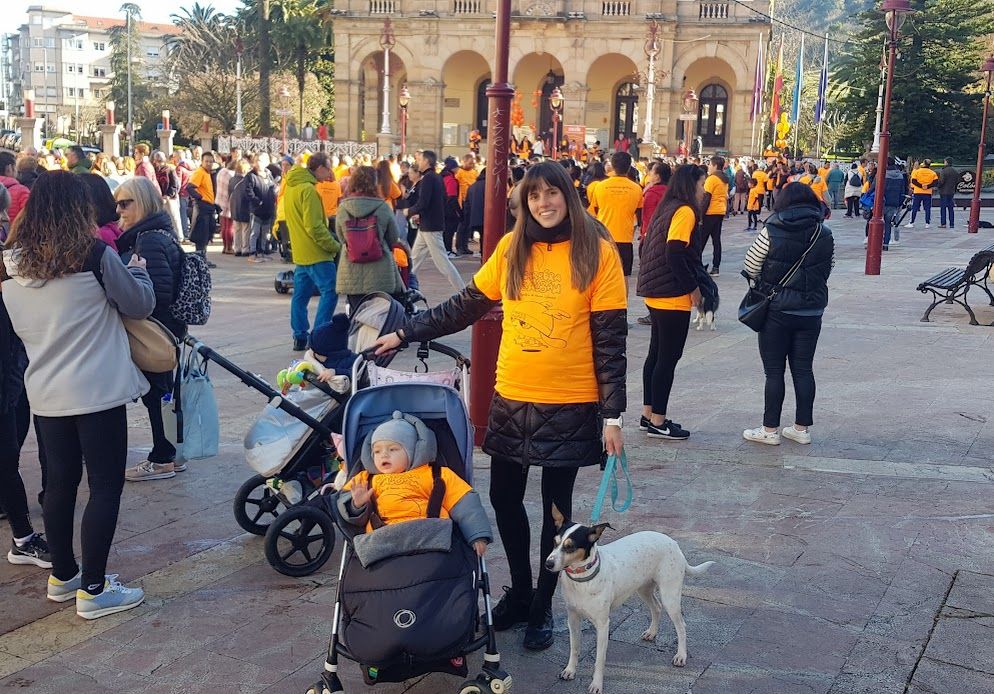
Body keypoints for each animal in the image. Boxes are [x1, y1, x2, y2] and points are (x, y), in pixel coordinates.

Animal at [544, 506, 712, 694]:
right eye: (554, 542)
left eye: (570, 547)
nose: (548, 564)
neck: (582, 580)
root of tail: (673, 543)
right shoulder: (572, 618)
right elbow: (574, 648)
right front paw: (570, 670)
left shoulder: (603, 625)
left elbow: (599, 660)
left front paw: (596, 684)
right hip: (643, 589)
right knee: (656, 607)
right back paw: (652, 632)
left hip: (670, 596)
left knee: (681, 625)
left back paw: (681, 655)